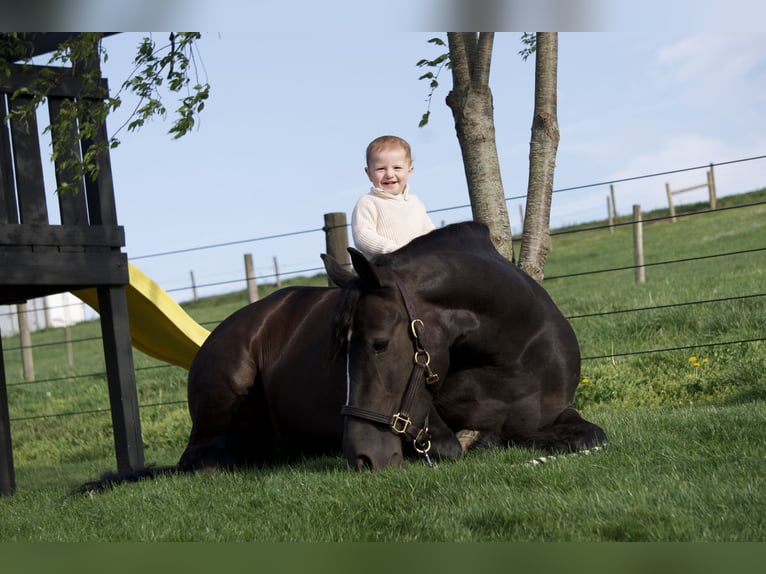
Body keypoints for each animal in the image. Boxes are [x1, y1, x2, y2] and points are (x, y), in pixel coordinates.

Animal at [81, 221, 605, 490]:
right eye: (339, 352)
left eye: (378, 344)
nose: (363, 458)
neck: (510, 358)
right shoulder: (429, 422)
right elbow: (456, 444)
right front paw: (484, 441)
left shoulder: (559, 412)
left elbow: (591, 436)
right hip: (224, 389)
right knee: (201, 460)